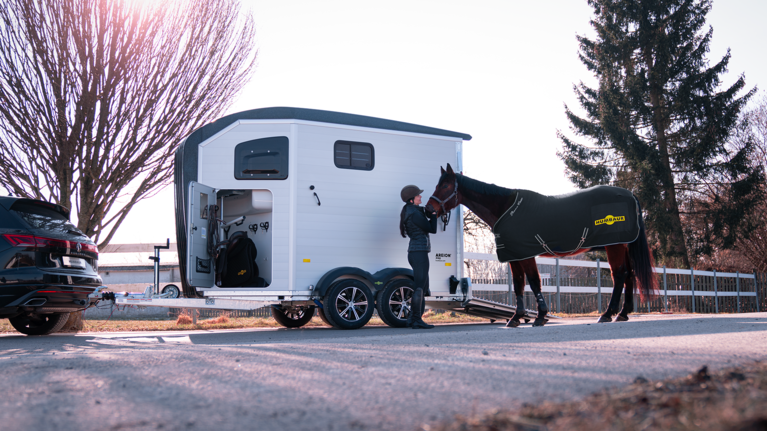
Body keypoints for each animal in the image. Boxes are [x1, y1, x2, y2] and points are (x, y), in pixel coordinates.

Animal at [425, 164, 658, 327]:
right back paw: (623, 314)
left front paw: (540, 316)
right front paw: (516, 317)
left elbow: (534, 282)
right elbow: (519, 284)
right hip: (622, 246)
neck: (505, 208)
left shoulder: (526, 254)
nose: (428, 209)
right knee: (629, 275)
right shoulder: (514, 256)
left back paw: (608, 314)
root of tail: (630, 194)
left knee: (619, 275)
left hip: (615, 245)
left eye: (445, 185)